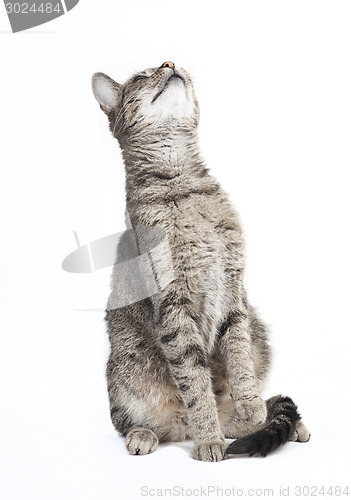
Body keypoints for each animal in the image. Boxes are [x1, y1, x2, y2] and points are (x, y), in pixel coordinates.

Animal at [91, 61, 310, 460]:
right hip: (126, 371)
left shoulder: (235, 292)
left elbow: (239, 355)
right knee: (138, 421)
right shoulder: (173, 309)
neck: (185, 184)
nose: (169, 63)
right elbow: (194, 381)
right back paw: (148, 434)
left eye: (167, 63)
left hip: (260, 333)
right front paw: (207, 437)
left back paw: (270, 419)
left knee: (242, 413)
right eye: (141, 77)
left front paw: (249, 401)